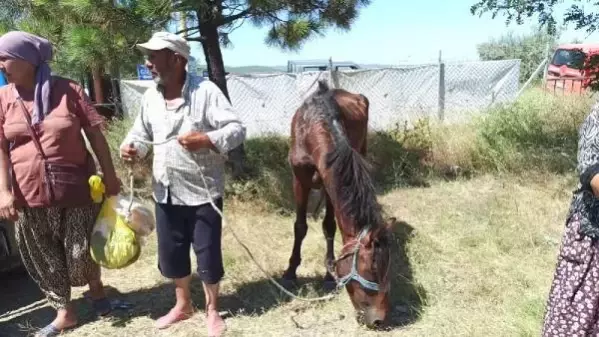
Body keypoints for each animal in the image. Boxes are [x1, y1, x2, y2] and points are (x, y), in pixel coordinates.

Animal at [284, 80, 396, 326]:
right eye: (373, 267)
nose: (380, 320)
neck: (314, 125)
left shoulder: (330, 183)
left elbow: (329, 226)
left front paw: (328, 274)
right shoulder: (298, 180)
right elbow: (300, 226)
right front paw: (290, 271)